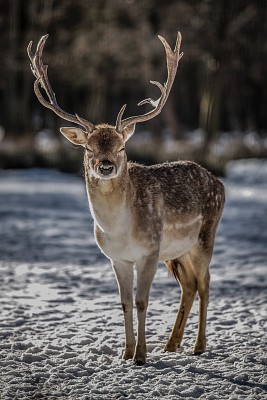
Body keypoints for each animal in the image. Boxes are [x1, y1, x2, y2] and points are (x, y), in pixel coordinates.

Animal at [27, 32, 225, 366]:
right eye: (88, 148)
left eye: (121, 147)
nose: (106, 166)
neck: (119, 231)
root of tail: (220, 183)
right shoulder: (117, 258)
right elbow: (124, 302)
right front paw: (126, 352)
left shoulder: (149, 251)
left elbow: (142, 301)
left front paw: (141, 356)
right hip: (177, 251)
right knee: (189, 285)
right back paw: (171, 345)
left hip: (204, 237)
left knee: (206, 284)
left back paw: (198, 346)